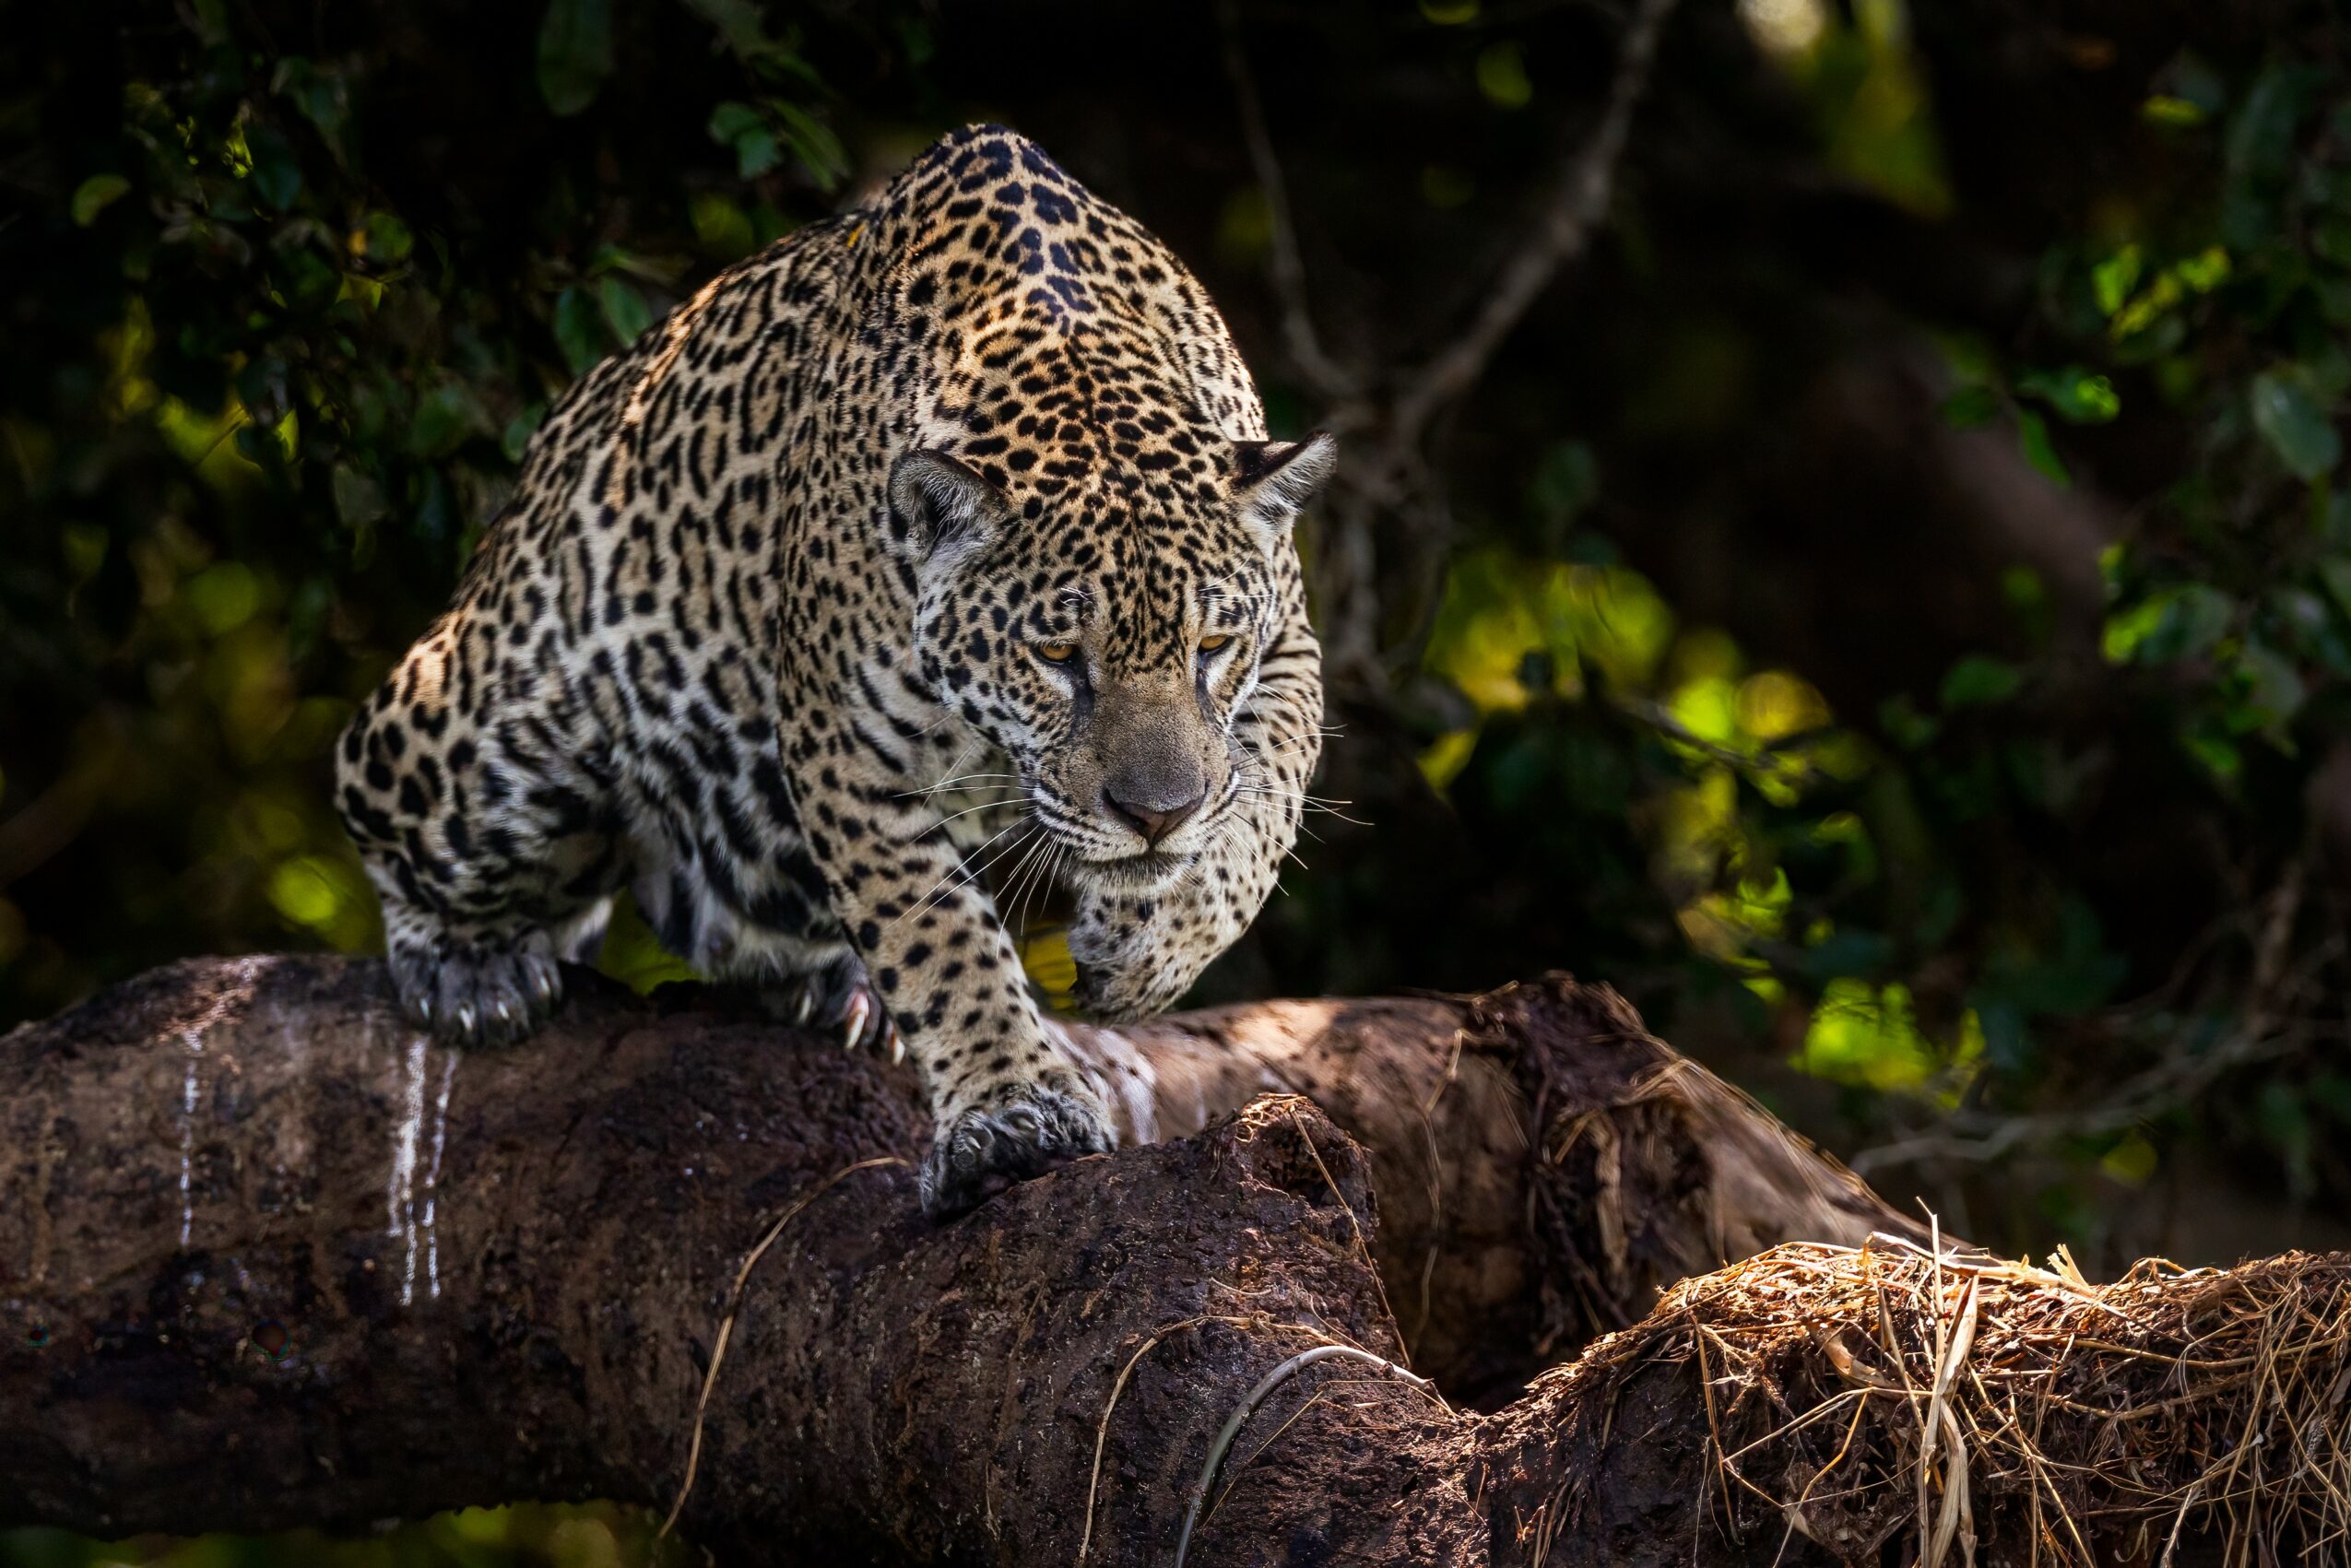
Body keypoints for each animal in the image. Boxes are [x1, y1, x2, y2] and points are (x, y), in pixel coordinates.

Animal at [335, 124, 1331, 1215]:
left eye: (1212, 648)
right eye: (1059, 657)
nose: (1156, 816)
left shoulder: (1289, 647)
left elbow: (1263, 800)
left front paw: (1149, 945)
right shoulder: (847, 746)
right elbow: (938, 941)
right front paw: (1009, 1110)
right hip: (492, 736)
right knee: (382, 806)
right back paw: (470, 970)